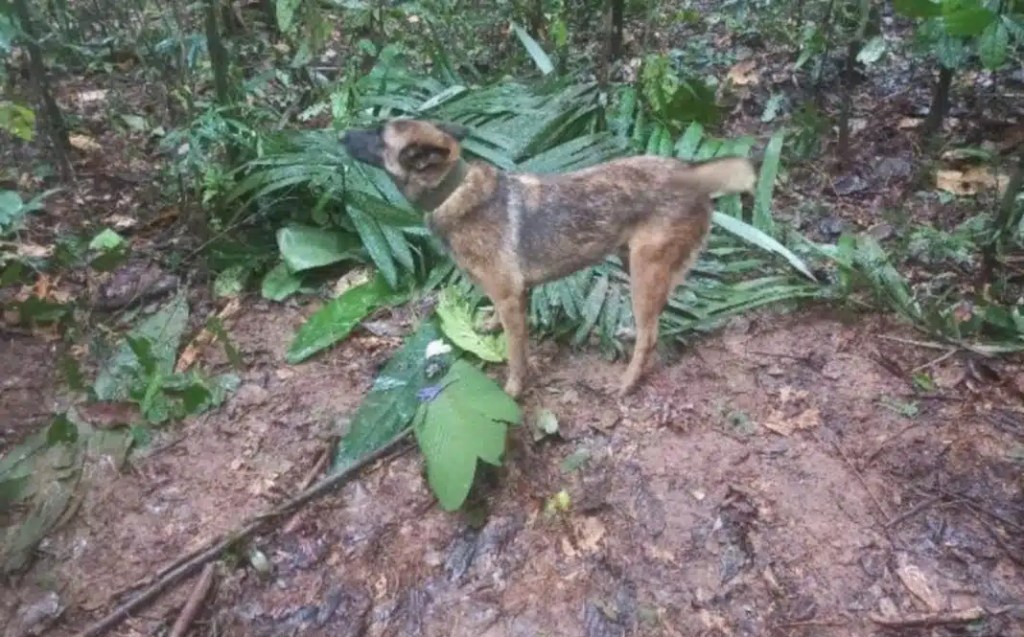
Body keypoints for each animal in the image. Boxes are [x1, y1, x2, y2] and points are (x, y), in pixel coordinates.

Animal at [342, 119, 753, 399]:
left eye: (378, 134)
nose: (341, 135)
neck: (452, 191)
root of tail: (690, 172)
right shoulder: (515, 295)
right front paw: (489, 326)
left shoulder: (510, 297)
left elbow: (515, 354)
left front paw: (512, 390)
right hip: (633, 262)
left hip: (644, 269)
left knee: (650, 334)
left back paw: (628, 382)